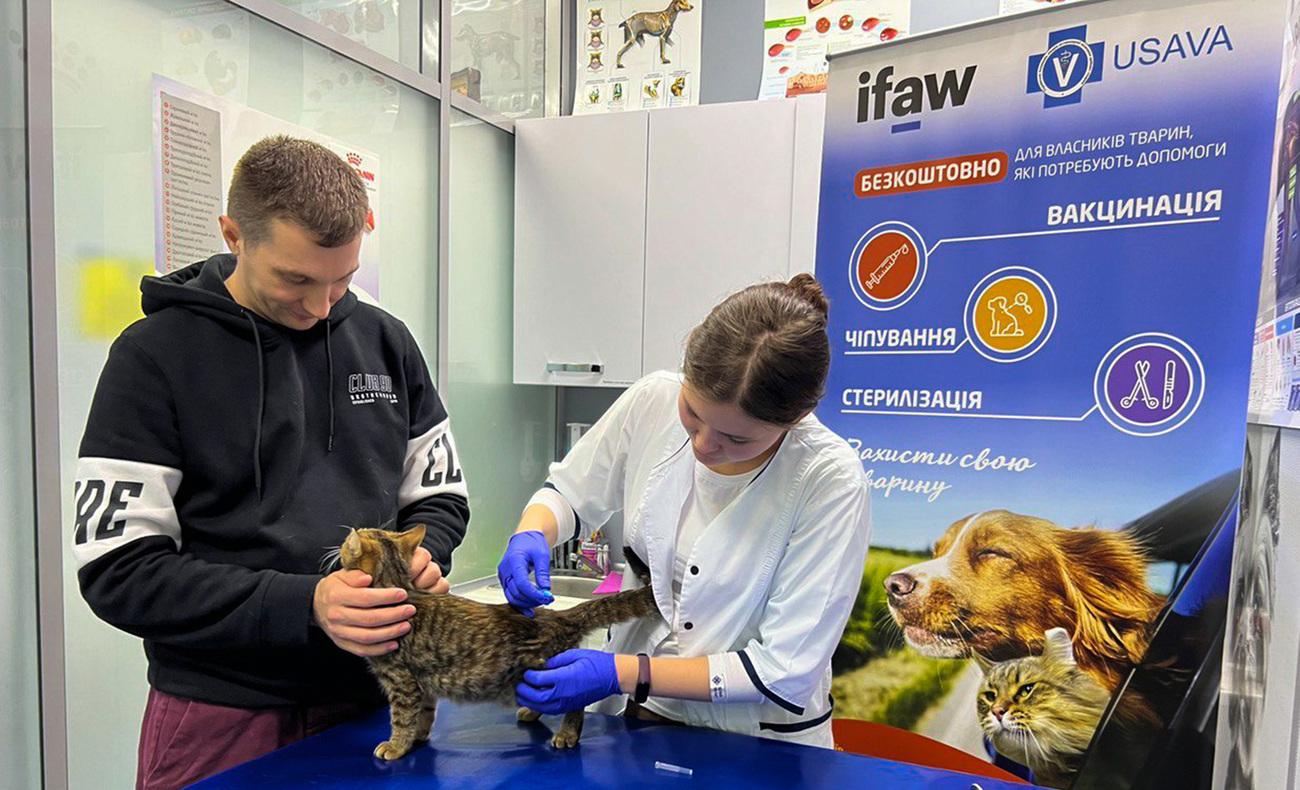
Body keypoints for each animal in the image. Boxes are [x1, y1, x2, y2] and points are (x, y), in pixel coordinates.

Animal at [340, 527, 655, 753]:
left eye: (347, 542)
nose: (344, 537)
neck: (400, 588)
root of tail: (558, 615)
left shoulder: (402, 682)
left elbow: (402, 718)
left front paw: (396, 746)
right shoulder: (423, 684)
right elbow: (424, 714)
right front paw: (419, 737)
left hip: (555, 671)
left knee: (576, 701)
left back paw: (567, 732)